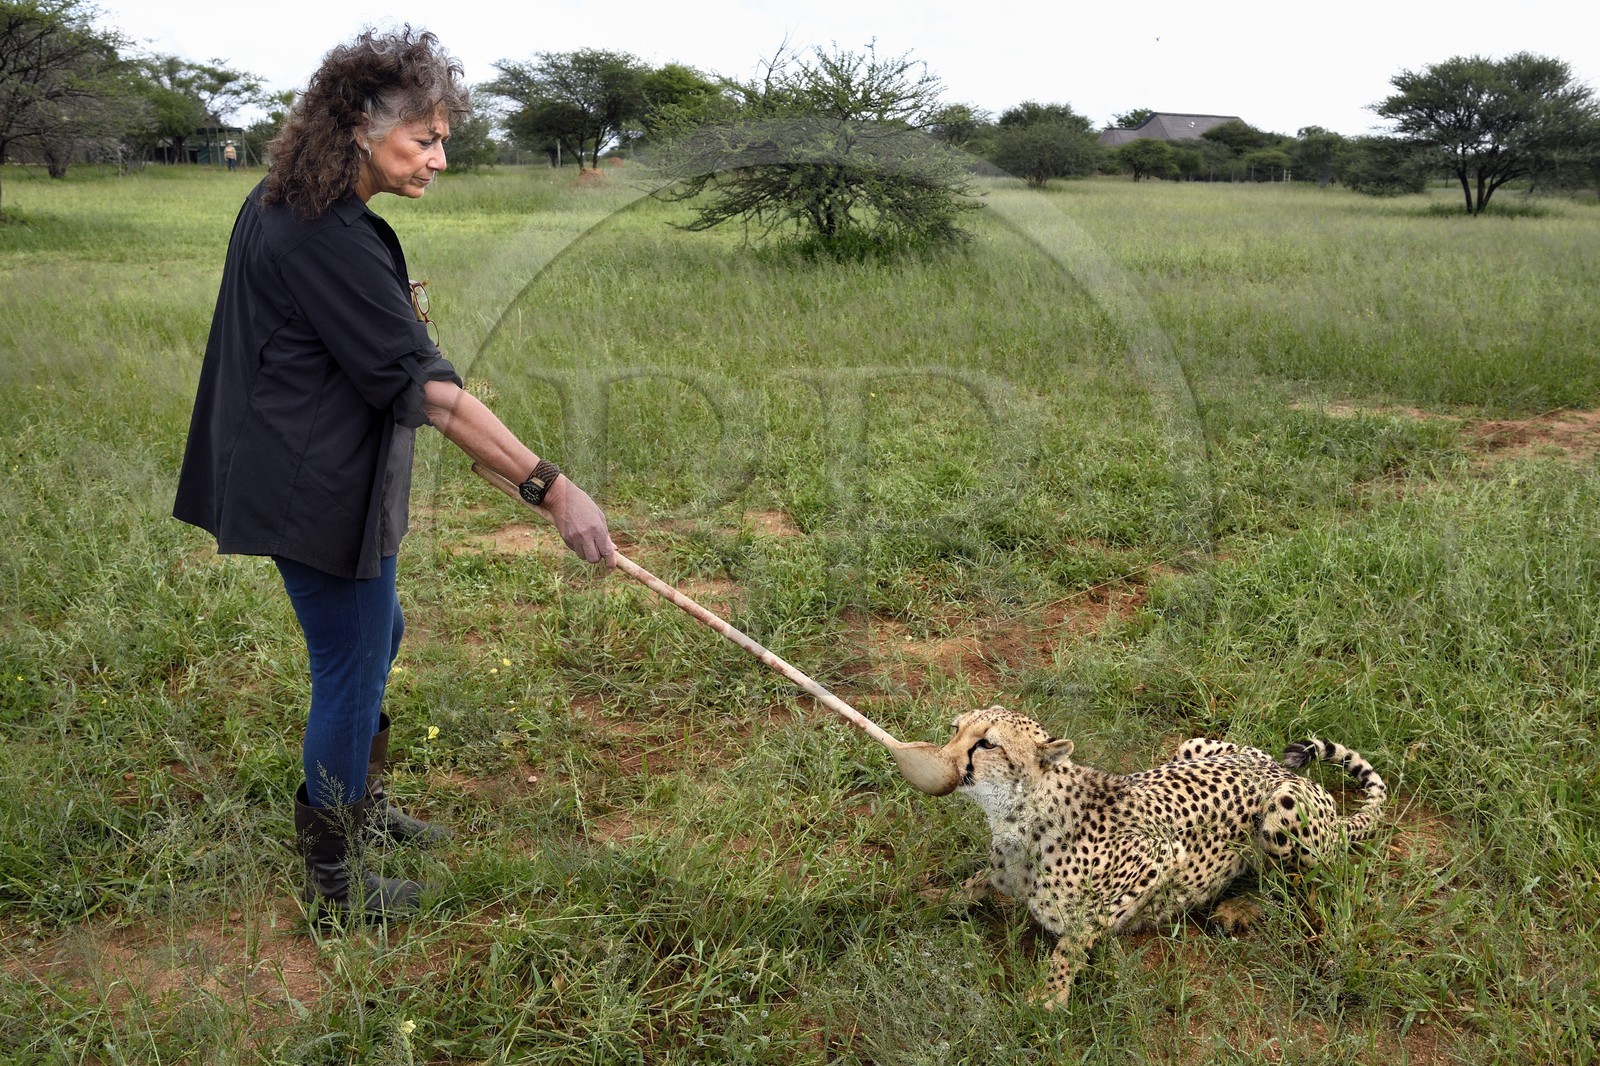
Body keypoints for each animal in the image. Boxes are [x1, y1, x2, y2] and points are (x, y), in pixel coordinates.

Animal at [939, 705, 1387, 1008]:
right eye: (956, 729)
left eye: (987, 743)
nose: (942, 758)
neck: (1018, 817)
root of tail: (1287, 771)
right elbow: (976, 882)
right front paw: (935, 899)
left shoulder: (1158, 854)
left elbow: (1076, 937)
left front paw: (1050, 993)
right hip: (1193, 744)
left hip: (1284, 810)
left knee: (1299, 887)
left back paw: (1241, 907)